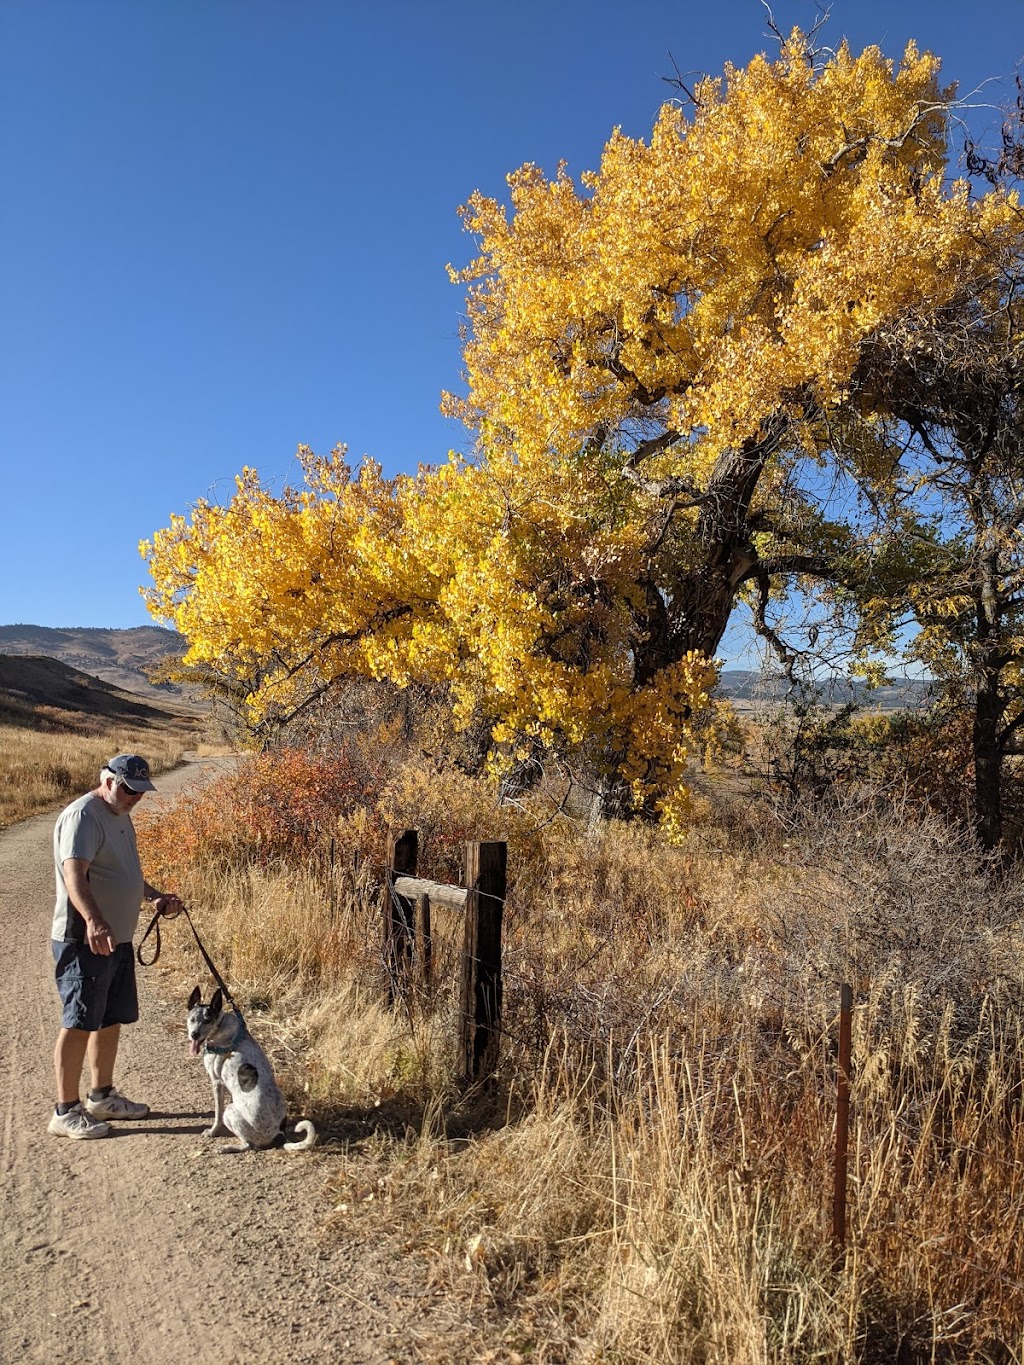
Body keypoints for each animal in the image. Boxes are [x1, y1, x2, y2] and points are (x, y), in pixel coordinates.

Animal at [184, 982, 319, 1152]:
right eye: (192, 1019)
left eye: (207, 1021)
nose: (194, 1035)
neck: (219, 1026)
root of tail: (278, 1133)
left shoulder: (217, 1082)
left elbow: (217, 1114)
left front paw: (213, 1132)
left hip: (230, 1112)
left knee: (249, 1145)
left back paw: (227, 1147)